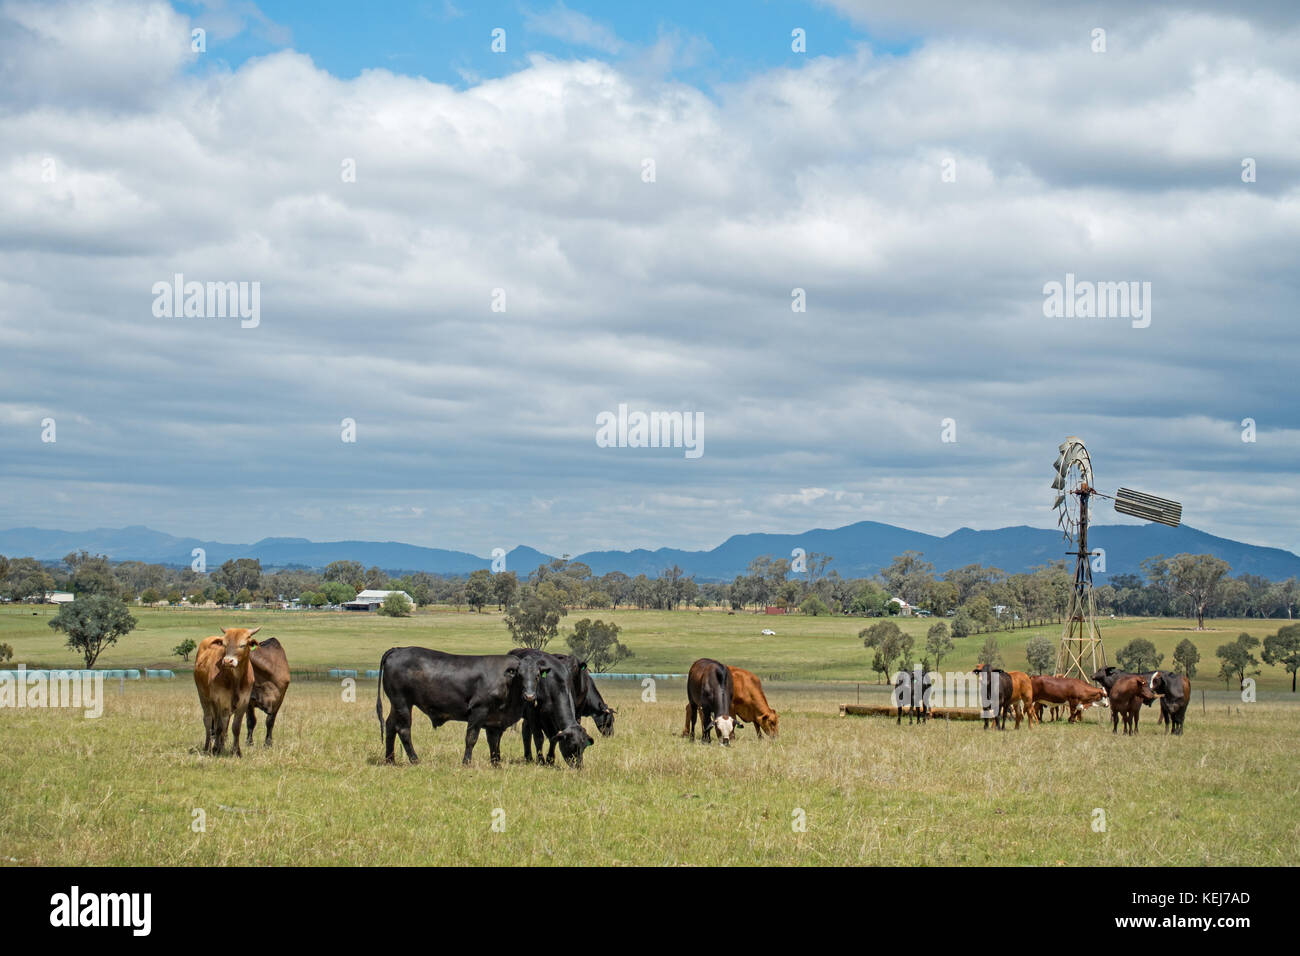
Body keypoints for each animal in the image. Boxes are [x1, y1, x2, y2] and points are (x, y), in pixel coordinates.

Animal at [192, 624, 261, 759]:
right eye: (224, 644)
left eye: (242, 645)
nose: (228, 661)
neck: (235, 679)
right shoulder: (217, 701)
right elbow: (218, 727)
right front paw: (215, 749)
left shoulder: (243, 703)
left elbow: (235, 727)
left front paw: (236, 751)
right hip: (204, 698)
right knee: (208, 721)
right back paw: (208, 747)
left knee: (225, 723)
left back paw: (222, 746)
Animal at [371, 647, 585, 764]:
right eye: (520, 675)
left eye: (538, 675)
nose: (530, 695)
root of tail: (398, 649)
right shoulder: (478, 711)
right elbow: (471, 738)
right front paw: (466, 762)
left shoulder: (495, 720)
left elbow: (494, 742)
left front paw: (496, 763)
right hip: (403, 703)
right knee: (403, 729)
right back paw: (414, 759)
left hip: (396, 704)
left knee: (390, 726)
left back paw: (390, 759)